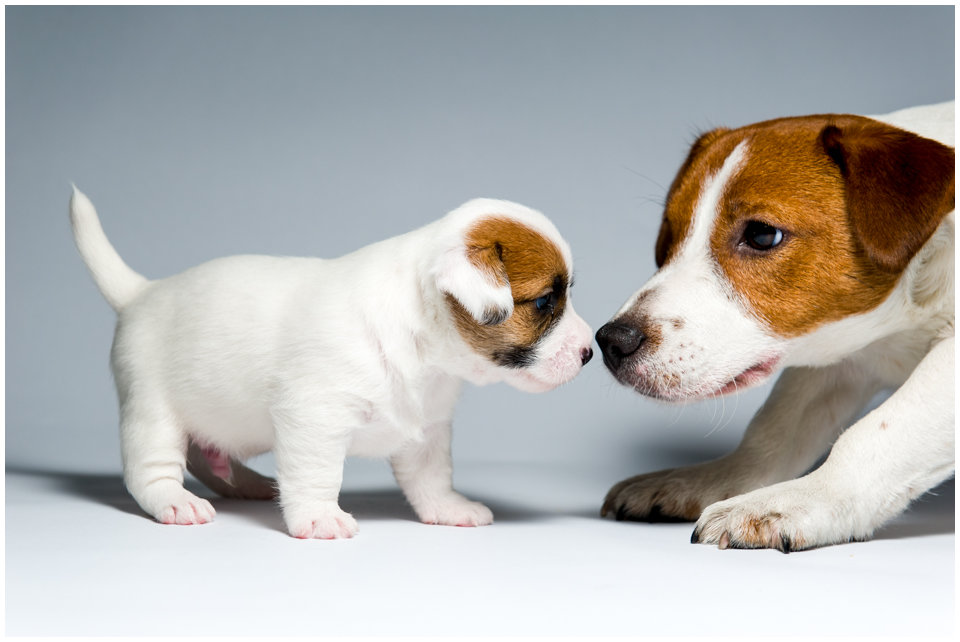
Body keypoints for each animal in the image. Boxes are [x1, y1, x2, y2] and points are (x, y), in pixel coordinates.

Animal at [71, 189, 592, 536]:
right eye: (545, 302)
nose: (589, 352)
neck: (422, 341)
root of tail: (140, 293)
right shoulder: (314, 419)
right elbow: (318, 473)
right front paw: (319, 516)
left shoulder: (428, 431)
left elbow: (432, 477)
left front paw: (447, 507)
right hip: (152, 411)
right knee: (150, 469)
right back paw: (175, 501)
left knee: (206, 454)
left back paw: (249, 483)